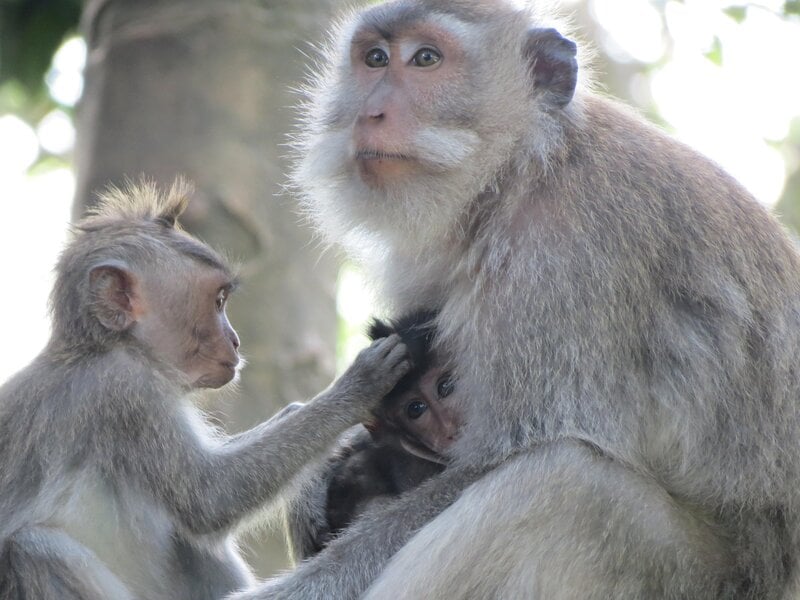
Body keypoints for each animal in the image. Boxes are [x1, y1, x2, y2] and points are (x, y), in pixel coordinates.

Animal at [0, 179, 411, 600]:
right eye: (218, 301)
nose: (235, 341)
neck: (101, 346)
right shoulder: (128, 390)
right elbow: (209, 497)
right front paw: (356, 388)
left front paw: (314, 467)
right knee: (35, 547)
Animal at [225, 0, 800, 599]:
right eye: (375, 59)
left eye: (426, 58)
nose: (371, 113)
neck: (522, 171)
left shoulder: (563, 258)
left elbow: (489, 462)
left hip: (688, 576)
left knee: (561, 483)